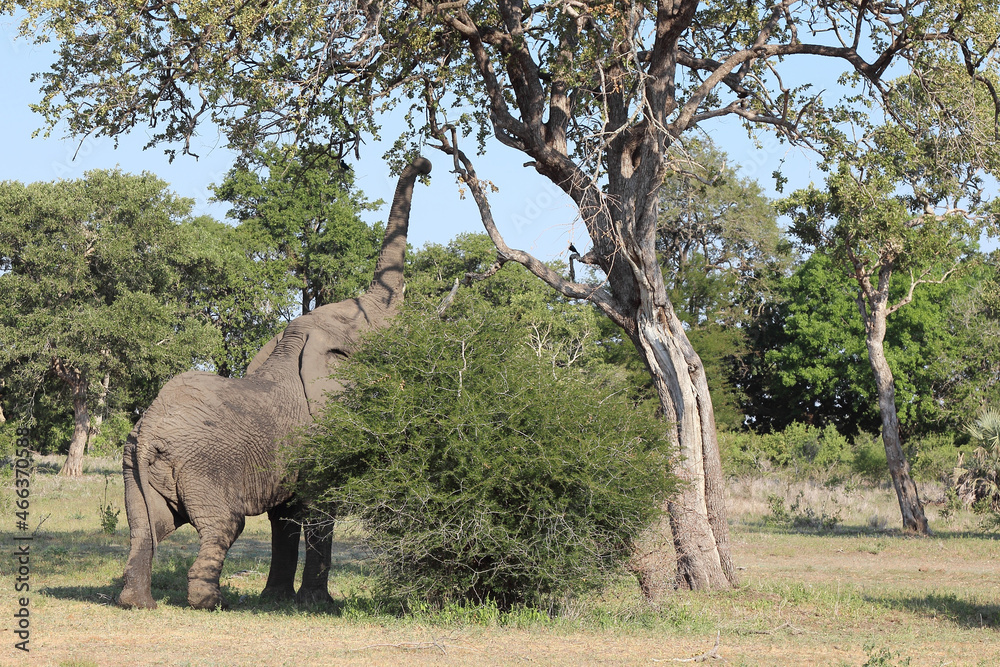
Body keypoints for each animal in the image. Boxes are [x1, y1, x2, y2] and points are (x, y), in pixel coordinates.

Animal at [117, 157, 432, 610]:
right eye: (374, 326)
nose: (425, 163)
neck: (295, 345)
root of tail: (148, 433)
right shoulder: (320, 436)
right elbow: (319, 509)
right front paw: (320, 606)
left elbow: (285, 516)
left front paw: (276, 600)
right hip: (203, 466)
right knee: (223, 526)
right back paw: (210, 603)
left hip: (131, 466)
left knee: (146, 529)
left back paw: (136, 603)